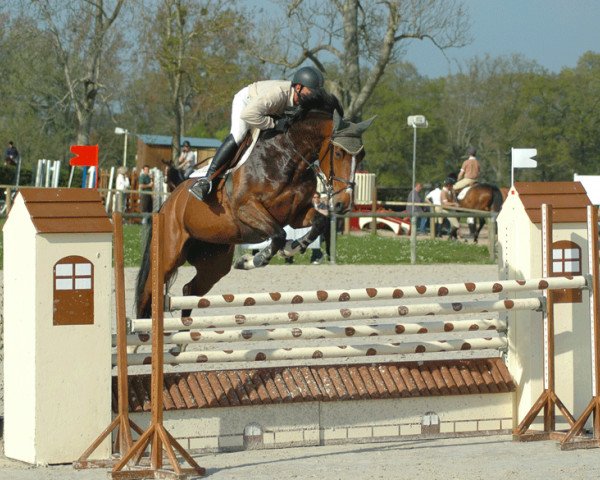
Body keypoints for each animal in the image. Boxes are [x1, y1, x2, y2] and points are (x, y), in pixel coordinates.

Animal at [135, 94, 376, 318]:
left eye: (362, 155)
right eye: (339, 153)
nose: (343, 203)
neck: (288, 157)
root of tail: (168, 203)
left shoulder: (296, 214)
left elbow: (318, 222)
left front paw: (291, 248)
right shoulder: (247, 209)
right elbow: (278, 235)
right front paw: (255, 258)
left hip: (213, 261)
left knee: (190, 291)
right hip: (169, 253)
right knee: (149, 291)